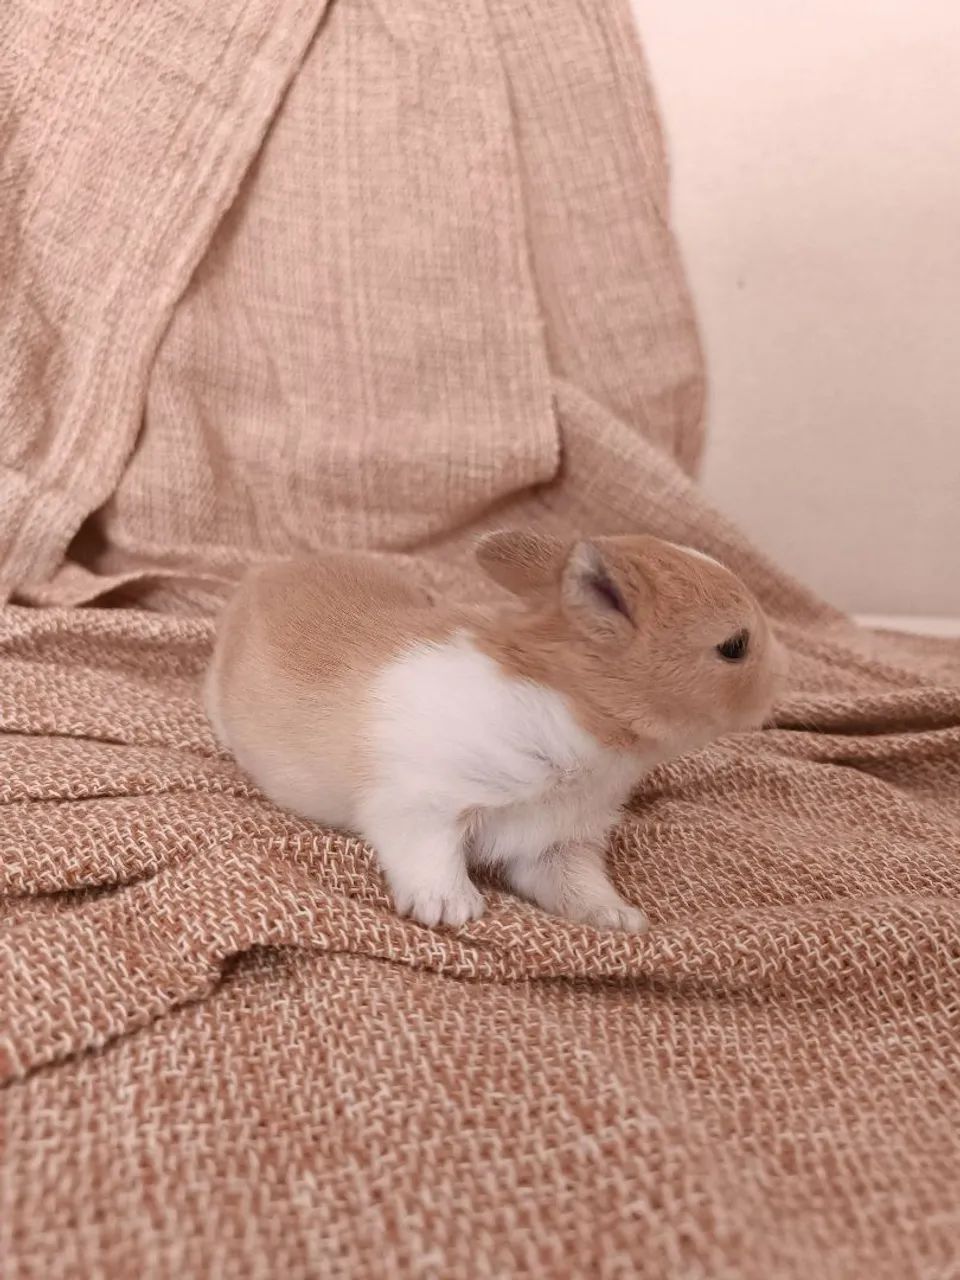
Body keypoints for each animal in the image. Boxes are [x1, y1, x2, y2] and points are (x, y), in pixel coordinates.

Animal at [204, 531, 787, 931]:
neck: (570, 715)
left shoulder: (556, 842)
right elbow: (430, 853)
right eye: (734, 646)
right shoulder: (422, 804)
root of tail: (259, 577)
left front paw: (616, 917)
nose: (782, 679)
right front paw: (450, 907)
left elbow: (578, 883)